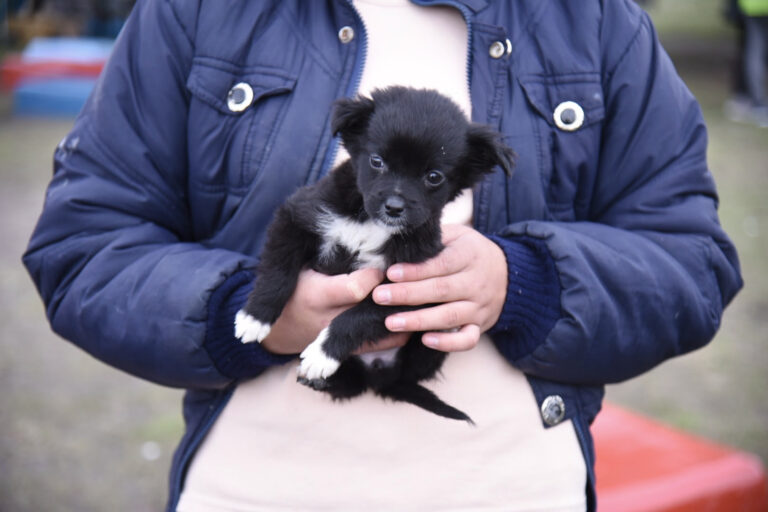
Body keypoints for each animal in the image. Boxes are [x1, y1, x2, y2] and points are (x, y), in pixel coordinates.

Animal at [234, 87, 510, 424]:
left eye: (434, 177)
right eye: (377, 161)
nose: (394, 207)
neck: (369, 222)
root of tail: (379, 373)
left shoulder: (412, 288)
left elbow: (356, 317)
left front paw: (322, 352)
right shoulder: (297, 217)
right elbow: (278, 273)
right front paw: (254, 318)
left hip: (431, 340)